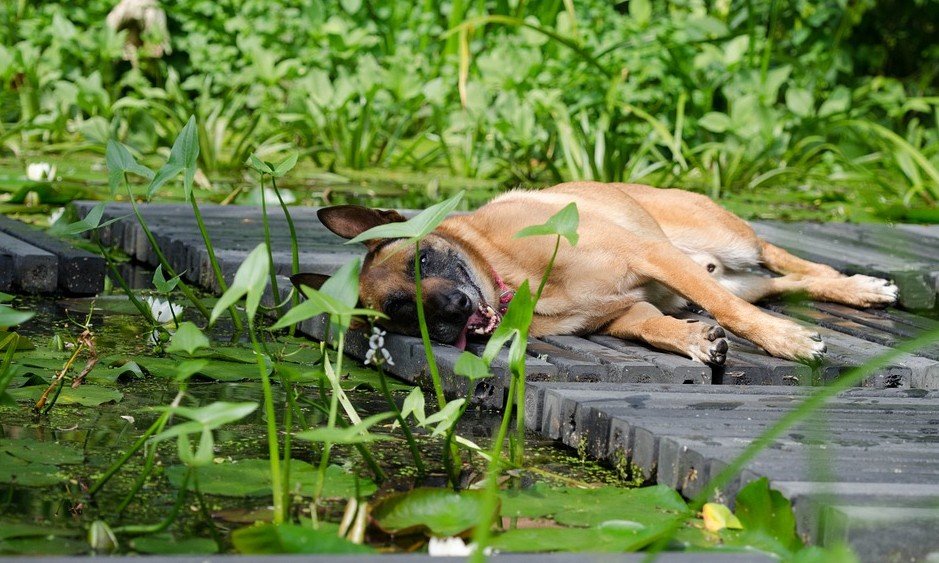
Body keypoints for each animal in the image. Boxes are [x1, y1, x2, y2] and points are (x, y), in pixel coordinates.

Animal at [298, 183, 900, 364]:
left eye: (422, 261)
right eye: (401, 313)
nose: (453, 312)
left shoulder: (649, 256)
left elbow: (732, 313)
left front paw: (786, 342)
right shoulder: (622, 314)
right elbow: (653, 326)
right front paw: (693, 340)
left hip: (730, 242)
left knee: (784, 260)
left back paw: (860, 286)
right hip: (733, 274)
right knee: (781, 283)